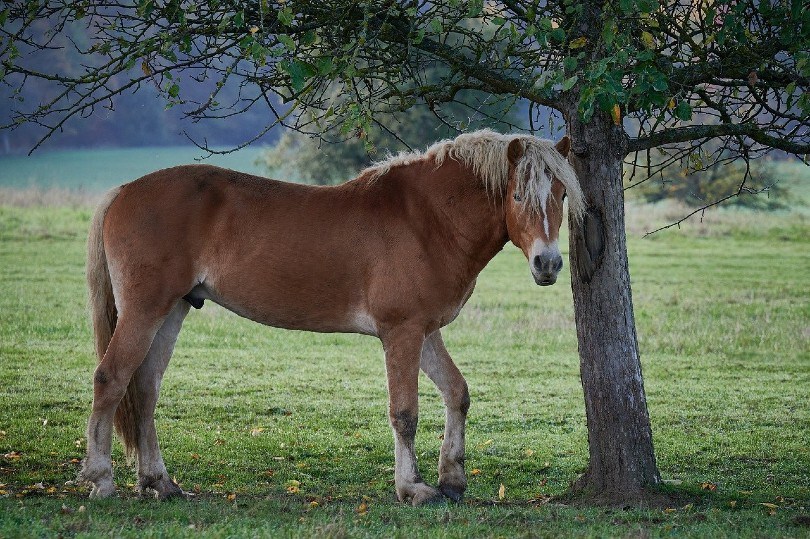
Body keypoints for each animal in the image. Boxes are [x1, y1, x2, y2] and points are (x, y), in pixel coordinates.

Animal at [80, 130, 580, 506]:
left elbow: (457, 393)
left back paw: (159, 481)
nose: (548, 264)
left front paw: (452, 480)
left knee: (145, 389)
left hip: (174, 309)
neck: (427, 219)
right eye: (518, 194)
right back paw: (101, 478)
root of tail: (122, 191)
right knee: (111, 378)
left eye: (560, 194)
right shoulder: (401, 332)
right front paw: (412, 488)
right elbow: (405, 413)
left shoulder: (424, 331)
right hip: (145, 310)